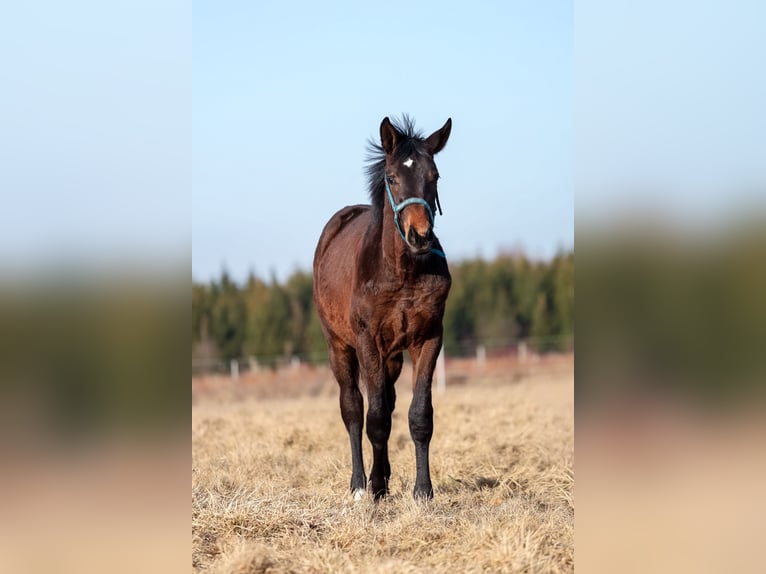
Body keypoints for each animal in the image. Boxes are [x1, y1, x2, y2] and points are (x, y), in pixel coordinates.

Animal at [313, 116, 452, 500]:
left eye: (435, 175)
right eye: (391, 177)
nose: (420, 235)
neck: (401, 272)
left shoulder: (428, 338)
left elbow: (419, 415)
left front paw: (423, 491)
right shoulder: (367, 342)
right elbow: (373, 419)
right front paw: (374, 488)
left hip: (392, 357)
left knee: (387, 401)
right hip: (340, 346)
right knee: (354, 408)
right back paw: (360, 484)